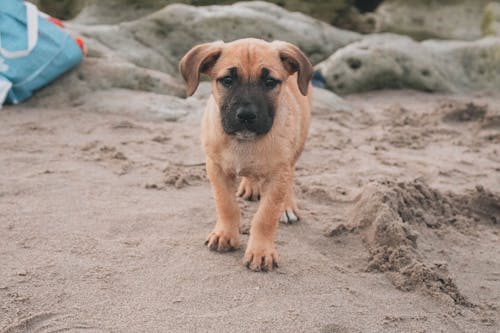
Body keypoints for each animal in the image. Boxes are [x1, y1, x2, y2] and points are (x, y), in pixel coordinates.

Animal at [180, 38, 312, 270]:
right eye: (227, 80)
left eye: (269, 82)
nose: (246, 115)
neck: (244, 143)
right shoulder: (216, 168)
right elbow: (226, 205)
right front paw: (224, 235)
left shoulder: (278, 173)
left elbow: (266, 216)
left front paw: (261, 251)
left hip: (297, 145)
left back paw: (286, 206)